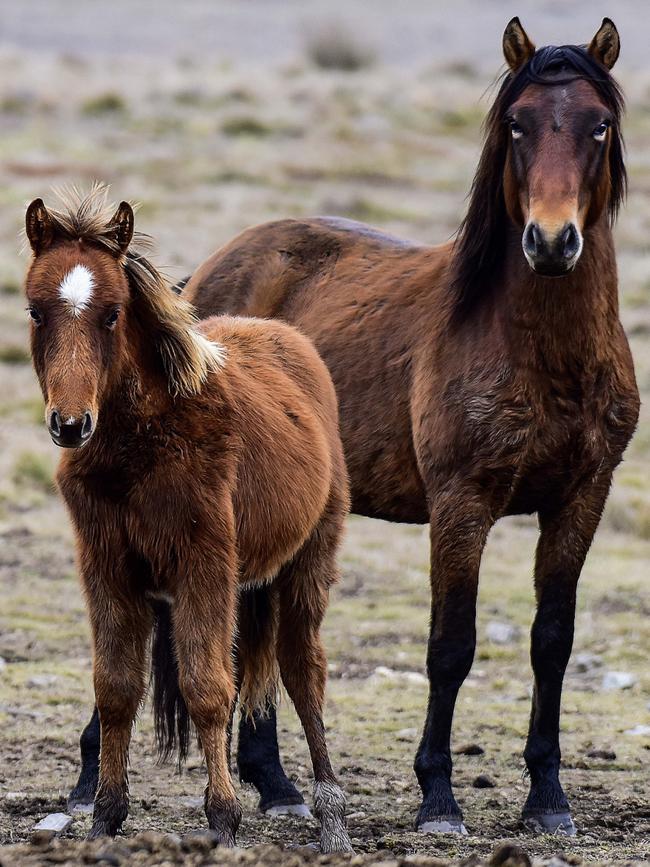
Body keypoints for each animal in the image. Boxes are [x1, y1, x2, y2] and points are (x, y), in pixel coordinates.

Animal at [24, 186, 350, 852]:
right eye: (37, 312)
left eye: (112, 314)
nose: (70, 425)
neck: (138, 447)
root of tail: (288, 338)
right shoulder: (107, 568)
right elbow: (116, 688)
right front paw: (106, 816)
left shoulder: (204, 565)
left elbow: (207, 688)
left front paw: (223, 819)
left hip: (308, 562)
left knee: (304, 671)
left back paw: (333, 820)